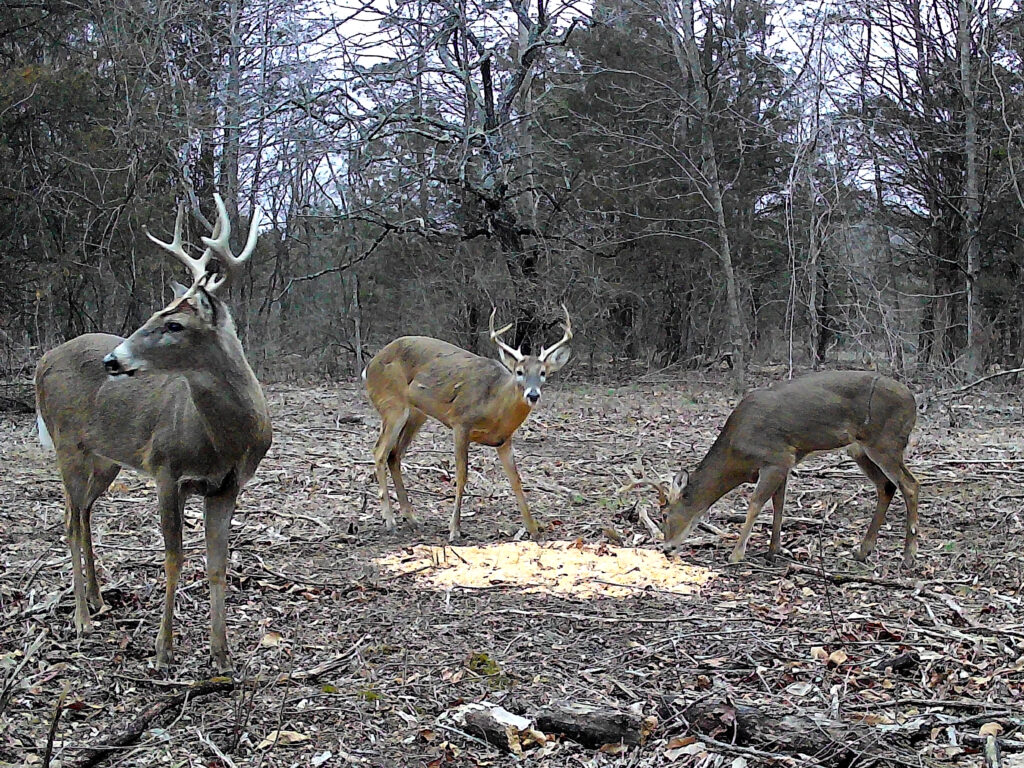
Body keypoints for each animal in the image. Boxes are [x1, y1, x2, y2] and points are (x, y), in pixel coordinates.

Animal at [35, 195, 270, 671]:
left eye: (174, 324)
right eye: (155, 314)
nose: (112, 360)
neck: (225, 441)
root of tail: (41, 362)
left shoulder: (227, 485)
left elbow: (217, 562)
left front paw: (221, 654)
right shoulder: (166, 470)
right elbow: (174, 557)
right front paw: (164, 650)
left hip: (105, 457)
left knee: (84, 512)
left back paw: (98, 599)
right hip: (67, 443)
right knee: (68, 519)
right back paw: (82, 619)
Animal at [364, 307, 573, 540]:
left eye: (543, 373)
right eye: (519, 372)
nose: (533, 395)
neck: (495, 405)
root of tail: (370, 365)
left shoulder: (504, 439)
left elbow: (516, 480)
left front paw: (533, 529)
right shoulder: (460, 423)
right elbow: (462, 475)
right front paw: (454, 528)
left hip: (417, 415)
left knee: (394, 455)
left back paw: (411, 518)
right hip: (393, 405)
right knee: (379, 452)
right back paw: (389, 520)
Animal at [655, 370, 921, 569]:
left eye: (664, 515)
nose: (667, 548)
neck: (736, 455)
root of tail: (913, 401)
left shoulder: (777, 457)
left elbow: (755, 504)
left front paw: (736, 554)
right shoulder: (783, 465)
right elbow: (778, 505)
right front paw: (773, 551)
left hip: (885, 442)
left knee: (910, 484)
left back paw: (908, 557)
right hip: (859, 449)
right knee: (886, 486)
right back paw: (863, 551)